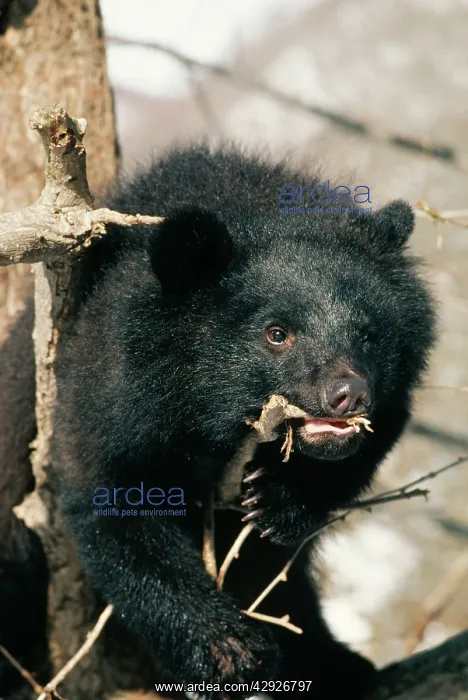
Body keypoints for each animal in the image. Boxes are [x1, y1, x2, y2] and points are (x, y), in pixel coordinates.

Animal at [47, 144, 435, 699]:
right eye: (276, 333)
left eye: (368, 334)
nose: (349, 394)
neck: (212, 420)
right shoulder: (115, 390)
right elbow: (112, 504)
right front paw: (231, 652)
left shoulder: (392, 395)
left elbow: (359, 455)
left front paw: (277, 501)